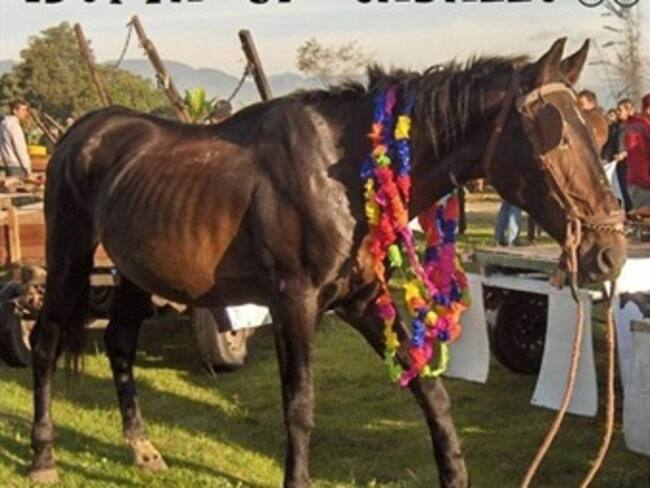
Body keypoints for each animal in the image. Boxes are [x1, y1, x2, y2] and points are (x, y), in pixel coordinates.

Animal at [28, 38, 626, 487]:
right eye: (555, 137)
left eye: (596, 133)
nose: (609, 253)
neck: (344, 170)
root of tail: (80, 132)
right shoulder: (294, 302)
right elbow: (299, 405)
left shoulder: (363, 299)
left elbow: (431, 393)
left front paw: (454, 471)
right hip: (69, 256)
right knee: (46, 339)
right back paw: (43, 456)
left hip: (134, 271)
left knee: (119, 343)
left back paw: (142, 447)